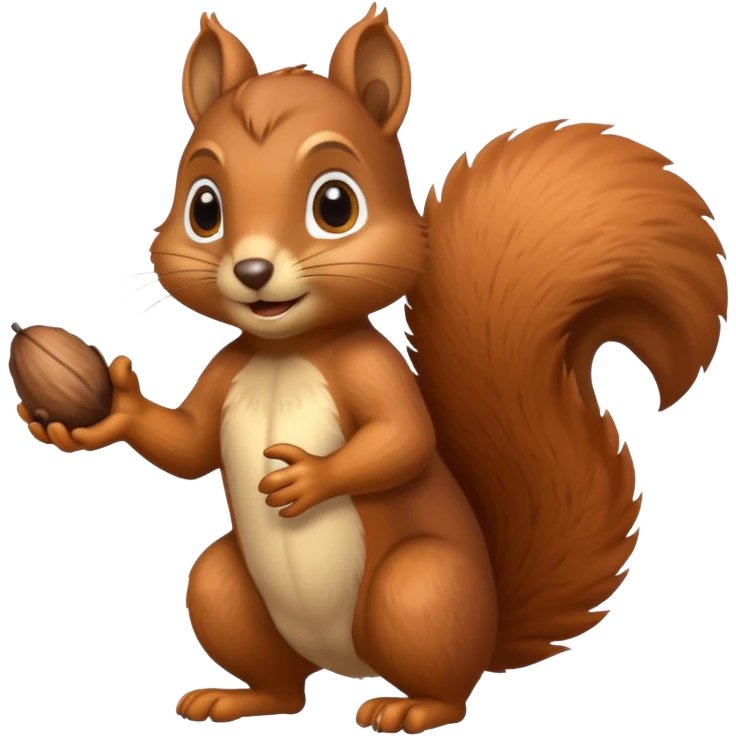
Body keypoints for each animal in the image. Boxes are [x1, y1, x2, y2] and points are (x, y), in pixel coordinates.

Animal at [16, 5, 728, 733]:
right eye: (204, 207)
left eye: (336, 205)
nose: (252, 271)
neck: (285, 350)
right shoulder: (228, 367)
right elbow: (188, 446)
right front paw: (111, 410)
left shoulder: (369, 367)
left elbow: (404, 438)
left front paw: (307, 476)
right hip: (226, 587)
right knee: (282, 682)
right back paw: (239, 697)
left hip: (422, 591)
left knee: (445, 681)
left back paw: (411, 707)